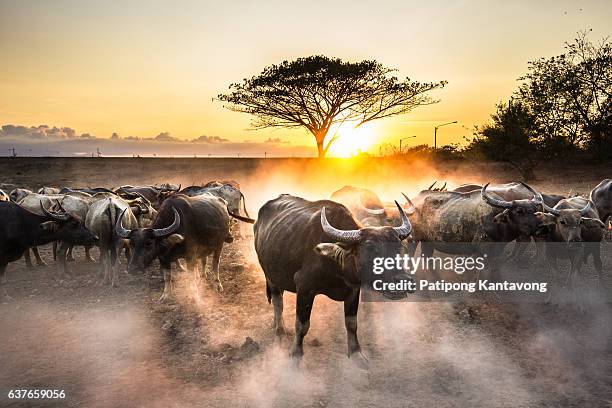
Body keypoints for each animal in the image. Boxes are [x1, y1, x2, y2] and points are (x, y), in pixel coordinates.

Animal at [253, 195, 412, 366]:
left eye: (397, 247)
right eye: (370, 248)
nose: (403, 280)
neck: (337, 263)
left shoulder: (353, 290)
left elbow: (351, 323)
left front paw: (356, 353)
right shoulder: (304, 288)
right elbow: (302, 324)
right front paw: (295, 354)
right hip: (270, 275)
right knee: (278, 302)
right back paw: (280, 332)